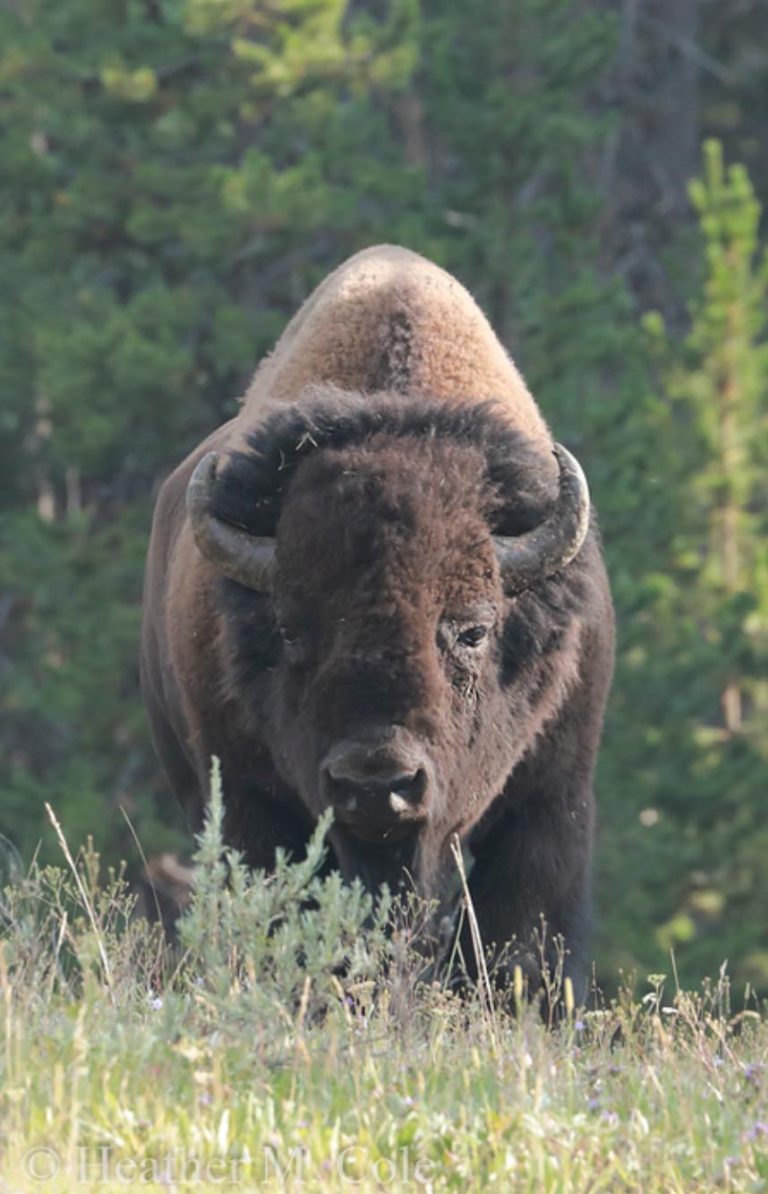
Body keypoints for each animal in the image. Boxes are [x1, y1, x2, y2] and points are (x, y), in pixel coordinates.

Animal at [140, 242, 616, 998]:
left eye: (474, 628)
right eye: (291, 631)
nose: (376, 783)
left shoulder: (551, 796)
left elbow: (521, 937)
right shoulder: (248, 802)